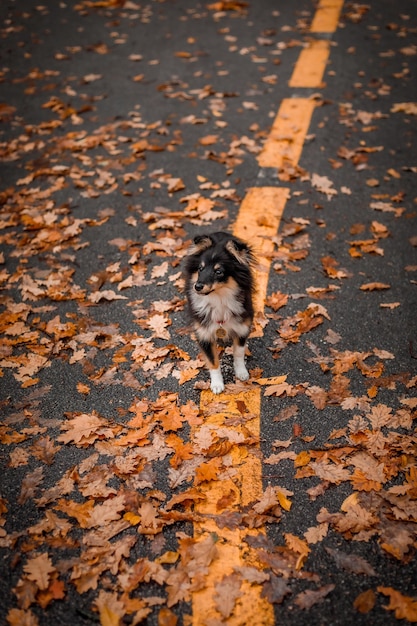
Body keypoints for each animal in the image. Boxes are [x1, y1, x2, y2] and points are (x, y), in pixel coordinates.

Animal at [184, 230, 255, 390]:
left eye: (219, 272)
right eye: (200, 268)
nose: (197, 286)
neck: (219, 298)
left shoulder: (242, 327)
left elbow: (239, 353)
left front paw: (241, 372)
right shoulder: (204, 334)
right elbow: (213, 361)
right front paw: (217, 385)